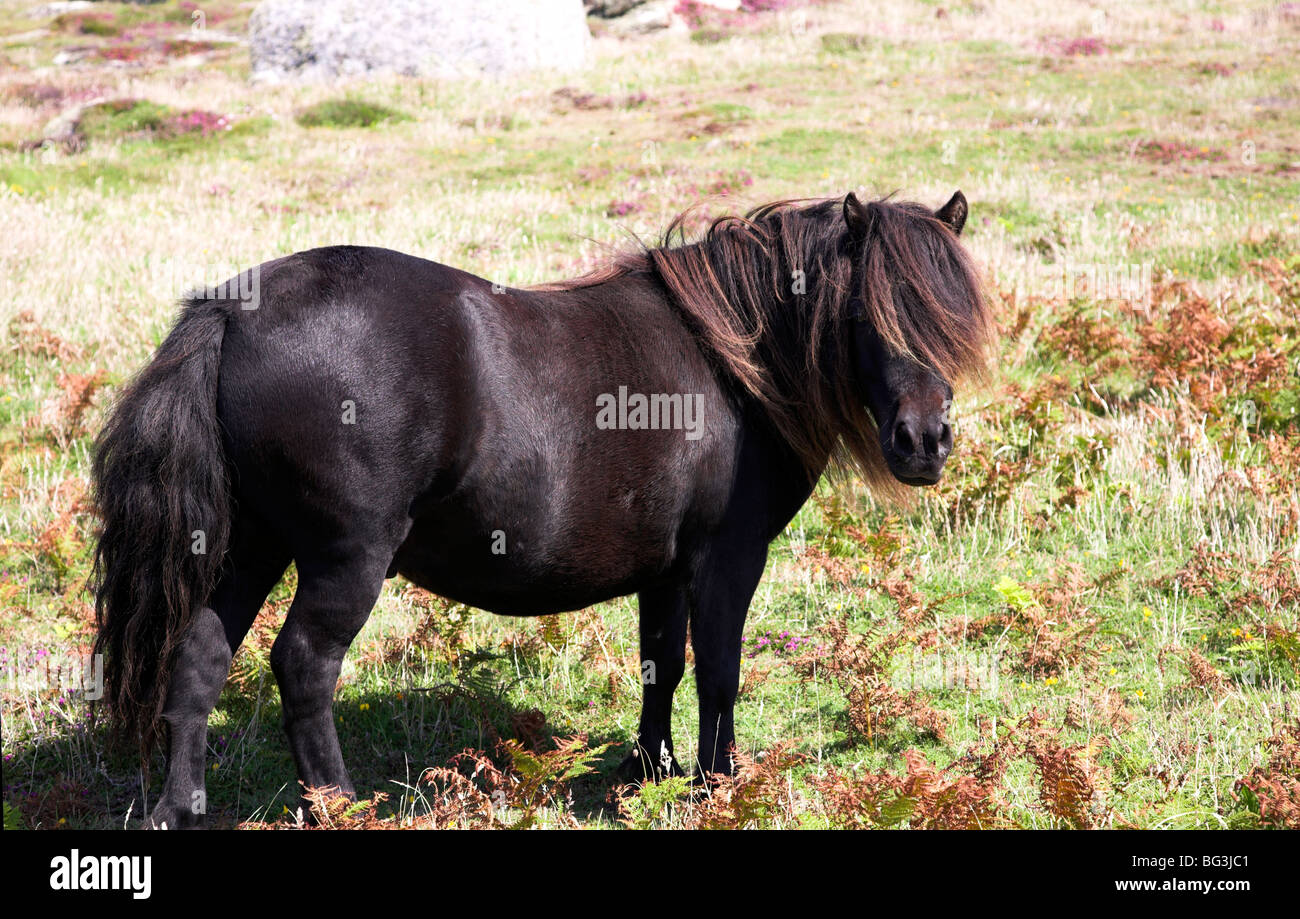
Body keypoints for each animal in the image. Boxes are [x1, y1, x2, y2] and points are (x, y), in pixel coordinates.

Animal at [92, 189, 992, 827]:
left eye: (952, 319)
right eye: (865, 314)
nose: (924, 442)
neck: (732, 363)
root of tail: (231, 310)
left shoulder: (665, 568)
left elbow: (661, 663)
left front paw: (649, 773)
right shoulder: (726, 557)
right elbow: (719, 670)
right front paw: (718, 785)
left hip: (250, 543)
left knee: (198, 656)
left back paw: (178, 811)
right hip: (344, 557)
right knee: (305, 665)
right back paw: (343, 807)